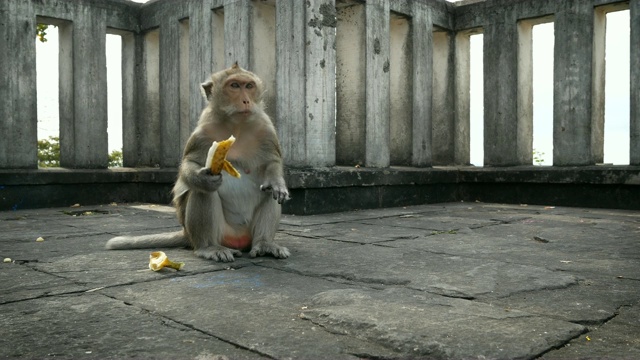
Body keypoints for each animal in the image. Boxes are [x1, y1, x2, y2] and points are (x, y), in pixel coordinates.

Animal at [106, 63, 292, 262]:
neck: (236, 126)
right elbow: (190, 163)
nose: (246, 101)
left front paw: (277, 183)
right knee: (203, 192)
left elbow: (271, 163)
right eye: (234, 85)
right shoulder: (202, 133)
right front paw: (202, 178)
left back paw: (264, 243)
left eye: (249, 86)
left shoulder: (266, 129)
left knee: (268, 192)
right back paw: (209, 247)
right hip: (215, 233)